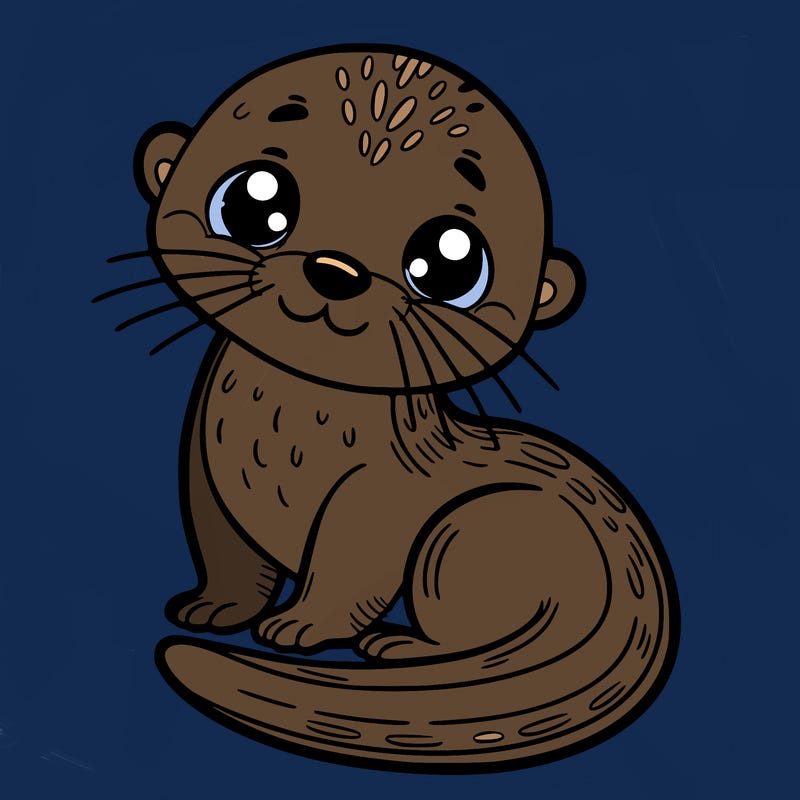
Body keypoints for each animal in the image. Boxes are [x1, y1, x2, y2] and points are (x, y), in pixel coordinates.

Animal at [106, 45, 678, 772]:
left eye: (450, 261)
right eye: (254, 200)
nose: (335, 270)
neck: (283, 433)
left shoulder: (377, 496)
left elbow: (351, 567)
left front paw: (300, 626)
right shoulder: (205, 473)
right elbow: (224, 549)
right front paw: (215, 608)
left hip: (469, 531)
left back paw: (402, 646)